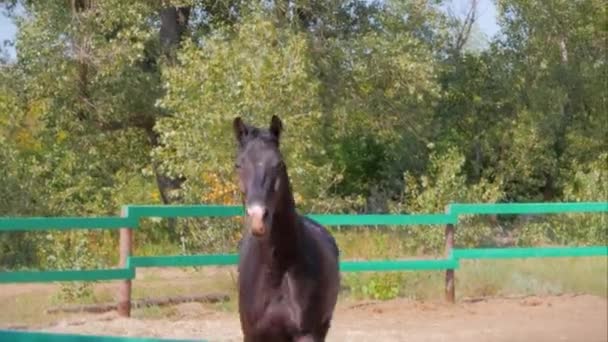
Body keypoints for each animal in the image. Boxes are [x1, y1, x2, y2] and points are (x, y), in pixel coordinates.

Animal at [233, 115, 340, 342]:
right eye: (238, 165)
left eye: (279, 164)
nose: (258, 218)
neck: (277, 269)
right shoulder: (253, 334)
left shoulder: (307, 334)